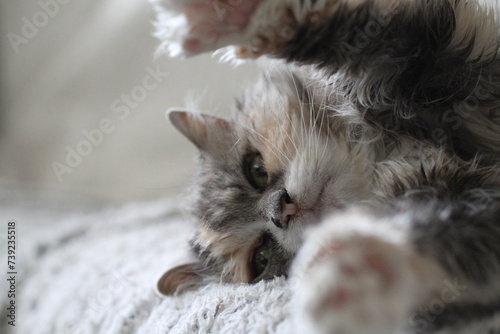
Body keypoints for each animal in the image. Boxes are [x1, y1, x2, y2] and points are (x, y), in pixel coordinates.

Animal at [152, 0, 500, 334]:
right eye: (261, 258)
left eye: (256, 170)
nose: (281, 211)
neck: (385, 157)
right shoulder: (463, 197)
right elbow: (434, 233)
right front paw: (353, 274)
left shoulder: (427, 57)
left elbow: (324, 30)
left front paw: (228, 15)